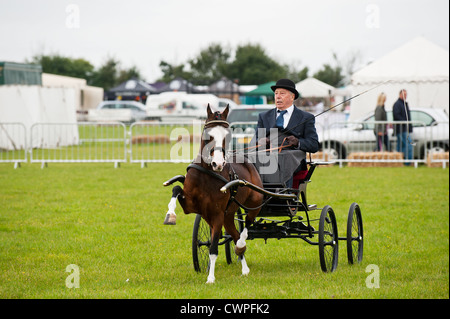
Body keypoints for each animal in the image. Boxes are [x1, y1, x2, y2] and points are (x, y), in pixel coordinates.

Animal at [163, 105, 264, 284]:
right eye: (207, 134)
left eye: (227, 135)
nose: (218, 163)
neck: (207, 174)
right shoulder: (190, 206)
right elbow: (176, 189)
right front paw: (170, 215)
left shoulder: (217, 215)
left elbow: (213, 249)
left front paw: (210, 278)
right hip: (228, 216)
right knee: (235, 234)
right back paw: (244, 266)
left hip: (253, 203)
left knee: (246, 225)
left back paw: (241, 248)